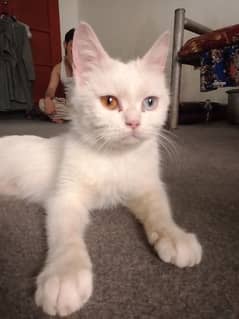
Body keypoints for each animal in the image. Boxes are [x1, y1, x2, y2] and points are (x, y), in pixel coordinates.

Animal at [0, 22, 202, 318]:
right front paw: (65, 274)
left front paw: (174, 237)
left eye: (150, 102)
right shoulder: (65, 197)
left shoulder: (147, 186)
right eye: (109, 102)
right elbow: (66, 235)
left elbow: (159, 211)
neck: (114, 158)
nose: (134, 122)